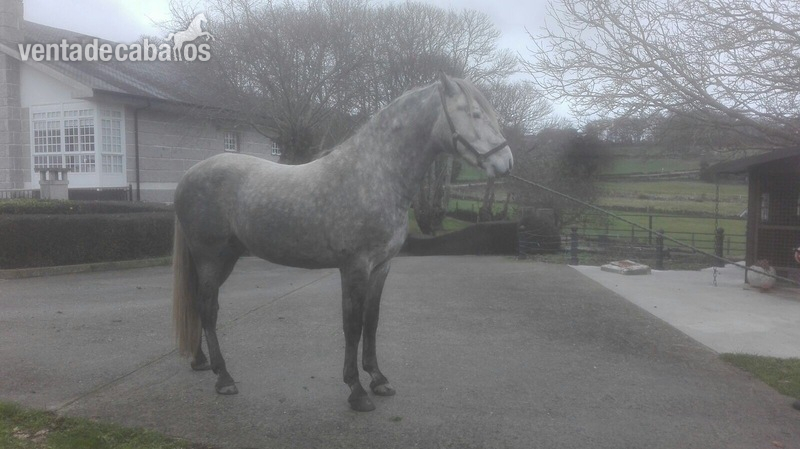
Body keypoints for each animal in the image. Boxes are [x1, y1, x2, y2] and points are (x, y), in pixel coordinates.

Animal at [172, 73, 513, 412]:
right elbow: (352, 325)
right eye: (475, 114)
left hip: (225, 257)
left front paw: (378, 378)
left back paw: (201, 361)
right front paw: (356, 390)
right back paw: (224, 378)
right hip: (212, 258)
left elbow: (371, 321)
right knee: (208, 308)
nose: (506, 163)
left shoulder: (381, 267)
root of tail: (188, 175)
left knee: (200, 305)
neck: (374, 175)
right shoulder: (354, 267)